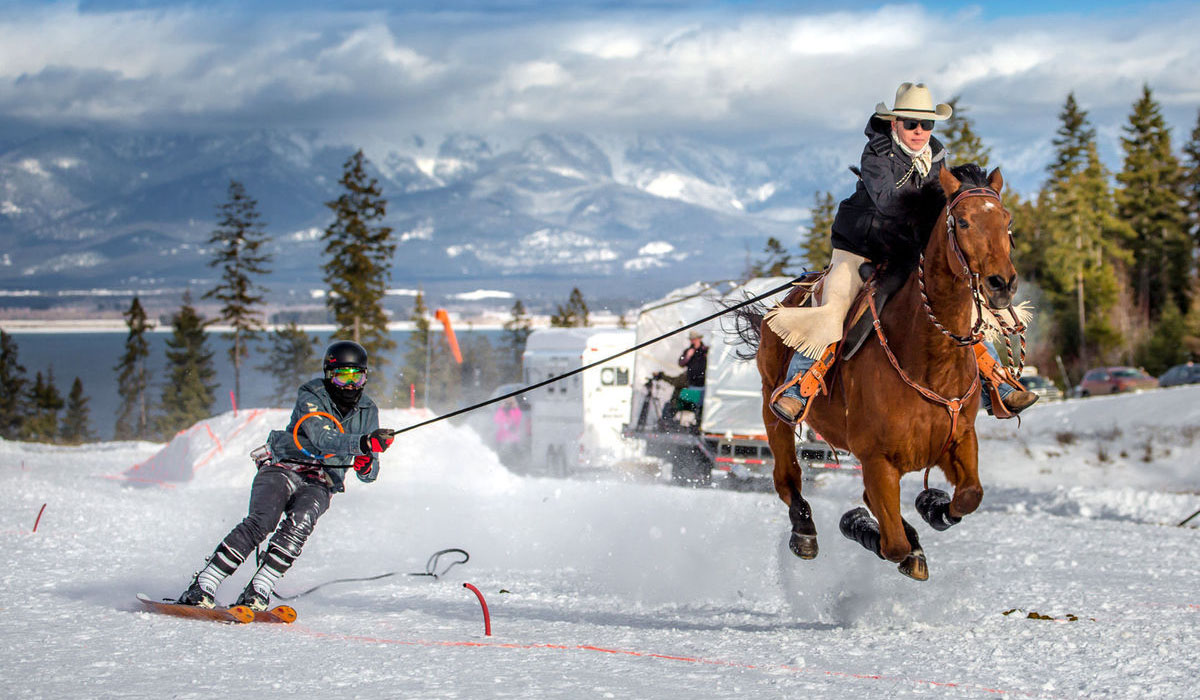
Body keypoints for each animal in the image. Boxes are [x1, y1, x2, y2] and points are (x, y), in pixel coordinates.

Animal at [734, 164, 1017, 581]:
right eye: (963, 221)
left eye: (1007, 221)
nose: (1002, 283)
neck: (928, 359)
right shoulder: (877, 460)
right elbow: (892, 543)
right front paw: (861, 525)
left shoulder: (959, 438)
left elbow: (969, 496)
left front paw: (932, 506)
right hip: (773, 409)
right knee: (787, 477)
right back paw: (804, 530)